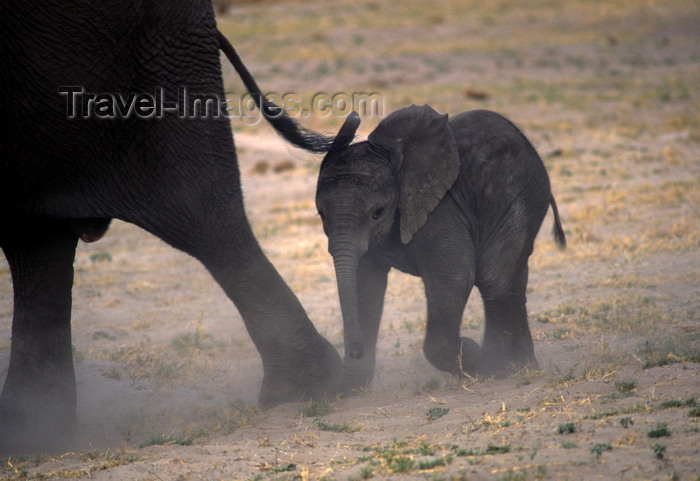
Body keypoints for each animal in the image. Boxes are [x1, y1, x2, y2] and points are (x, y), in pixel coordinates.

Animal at [314, 104, 568, 390]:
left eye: (378, 212)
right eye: (321, 214)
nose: (356, 350)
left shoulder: (440, 210)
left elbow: (454, 276)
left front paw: (475, 358)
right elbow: (364, 284)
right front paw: (349, 389)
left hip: (521, 196)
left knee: (494, 277)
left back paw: (500, 367)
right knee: (513, 276)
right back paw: (522, 366)